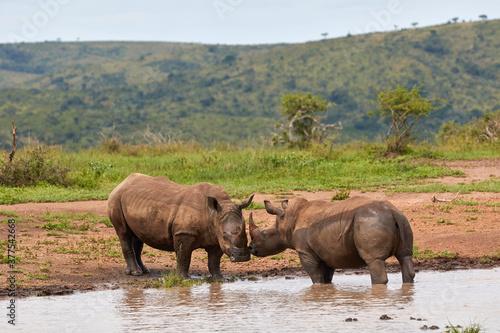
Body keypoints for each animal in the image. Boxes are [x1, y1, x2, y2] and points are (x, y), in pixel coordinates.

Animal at [106, 172, 254, 278]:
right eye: (224, 236)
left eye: (246, 233)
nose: (242, 257)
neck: (212, 214)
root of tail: (121, 183)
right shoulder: (184, 233)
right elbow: (184, 256)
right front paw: (184, 279)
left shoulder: (215, 236)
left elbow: (214, 260)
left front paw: (218, 279)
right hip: (116, 199)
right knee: (124, 233)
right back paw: (136, 273)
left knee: (137, 236)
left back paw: (144, 271)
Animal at [248, 196, 416, 284]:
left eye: (264, 233)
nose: (250, 248)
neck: (287, 222)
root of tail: (392, 211)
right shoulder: (327, 253)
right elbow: (326, 276)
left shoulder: (305, 251)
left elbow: (315, 277)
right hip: (402, 219)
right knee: (405, 256)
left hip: (369, 222)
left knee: (374, 260)